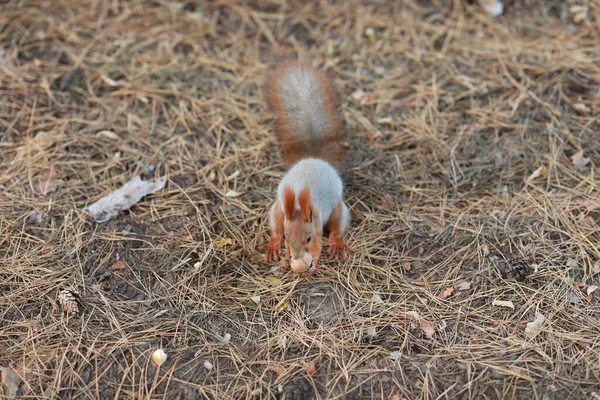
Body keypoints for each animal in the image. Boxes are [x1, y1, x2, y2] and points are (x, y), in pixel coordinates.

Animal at [262, 61, 352, 276]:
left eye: (308, 238)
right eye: (287, 237)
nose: (295, 256)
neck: (296, 203)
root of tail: (313, 159)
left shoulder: (317, 225)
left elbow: (318, 246)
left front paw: (313, 265)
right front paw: (284, 258)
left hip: (338, 208)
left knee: (338, 228)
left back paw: (337, 244)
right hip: (277, 209)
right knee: (275, 227)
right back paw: (273, 245)